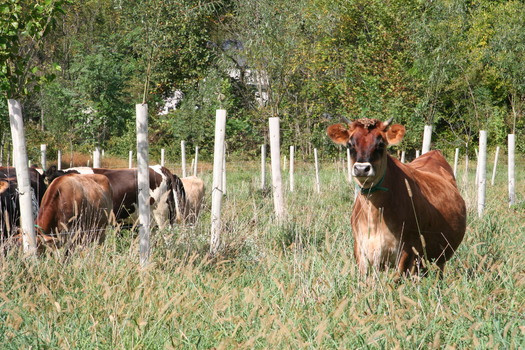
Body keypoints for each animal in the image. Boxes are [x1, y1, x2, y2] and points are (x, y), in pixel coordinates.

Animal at [326, 118, 464, 276]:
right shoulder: (361, 250)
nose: (361, 168)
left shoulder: (407, 251)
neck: (374, 215)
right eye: (350, 144)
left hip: (441, 256)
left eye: (381, 144)